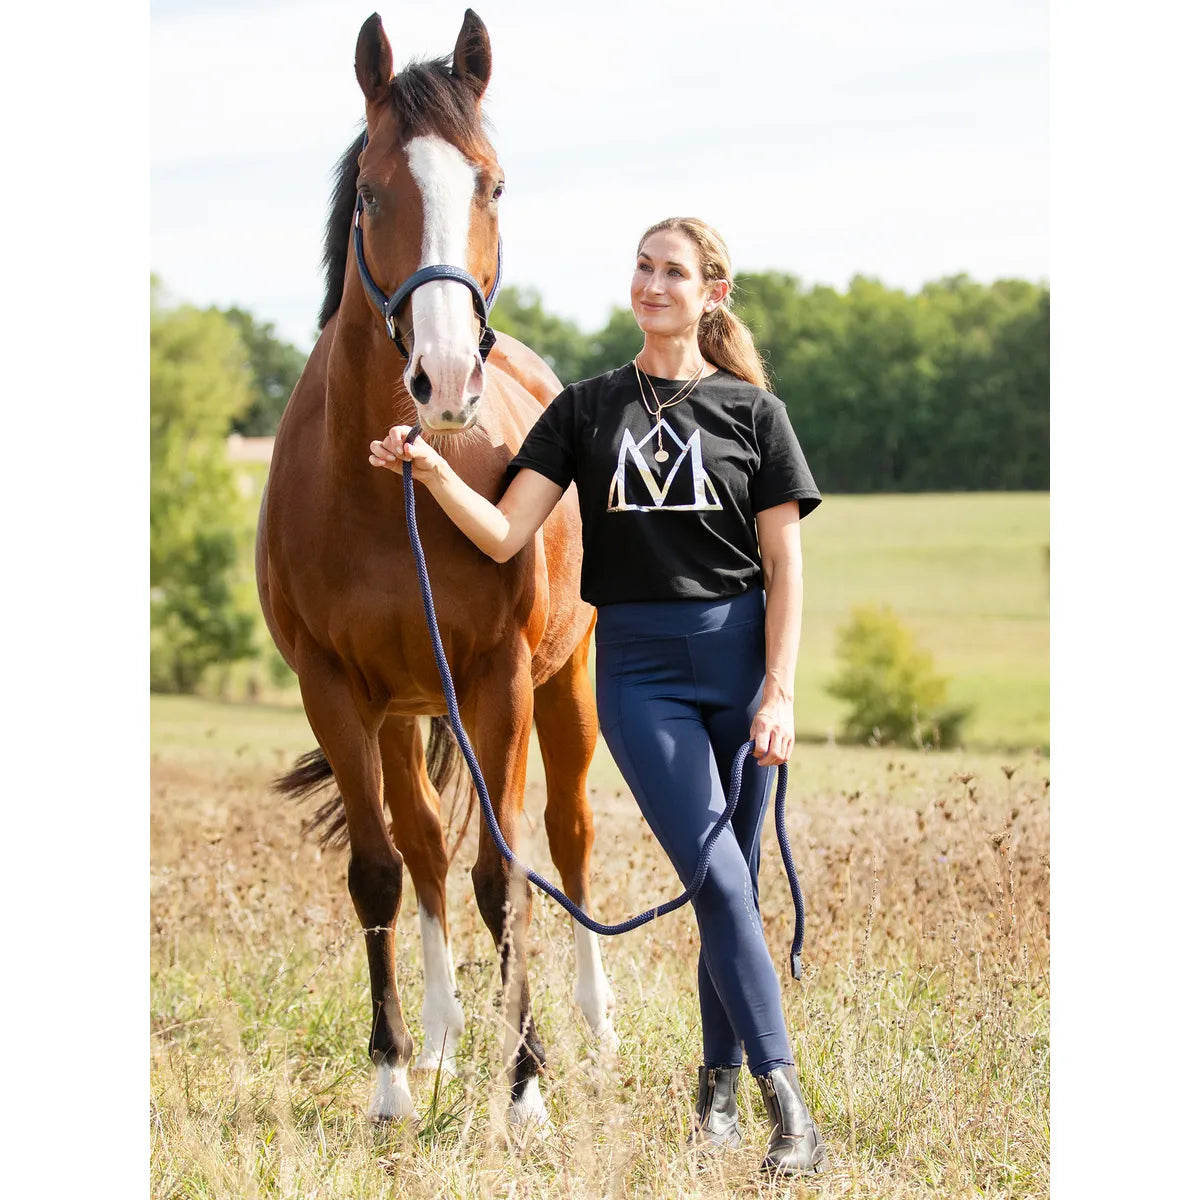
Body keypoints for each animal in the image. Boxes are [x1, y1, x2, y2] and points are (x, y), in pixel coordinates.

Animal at [256, 9, 616, 1126]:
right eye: (374, 192)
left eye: (492, 184)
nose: (447, 376)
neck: (389, 494)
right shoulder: (335, 690)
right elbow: (380, 871)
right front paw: (390, 1078)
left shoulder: (500, 681)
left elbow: (508, 875)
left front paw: (527, 1086)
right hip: (404, 713)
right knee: (421, 848)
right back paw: (448, 1035)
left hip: (565, 687)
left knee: (570, 836)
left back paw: (593, 1030)